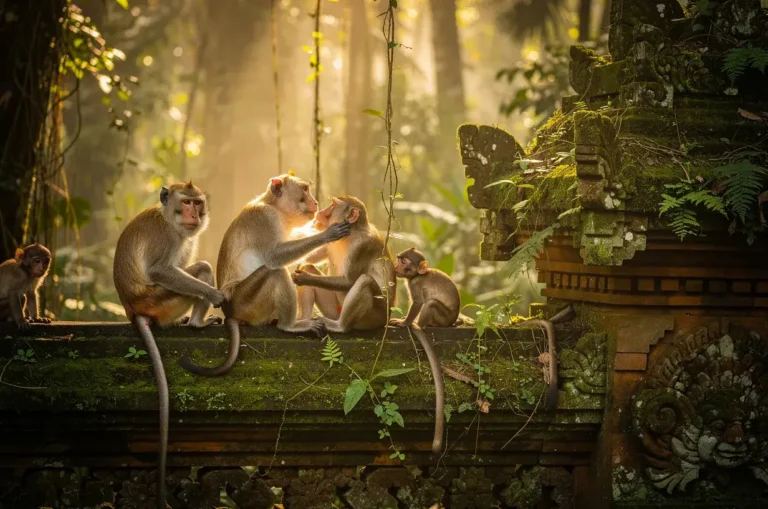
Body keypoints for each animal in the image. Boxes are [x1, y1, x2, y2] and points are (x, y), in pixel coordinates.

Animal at [113, 181, 225, 509]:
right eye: (185, 202)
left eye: (196, 203)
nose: (194, 214)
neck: (170, 220)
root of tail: (132, 309)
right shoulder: (167, 238)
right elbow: (161, 270)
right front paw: (215, 295)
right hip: (161, 302)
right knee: (199, 270)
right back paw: (198, 322)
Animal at [178, 173, 351, 377]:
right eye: (305, 190)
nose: (315, 202)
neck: (275, 208)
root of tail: (231, 311)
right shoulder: (265, 217)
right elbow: (274, 257)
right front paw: (326, 234)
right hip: (247, 302)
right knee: (276, 272)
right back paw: (289, 325)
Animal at [291, 195, 396, 333]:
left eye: (333, 205)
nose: (320, 212)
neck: (350, 234)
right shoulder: (331, 241)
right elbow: (309, 258)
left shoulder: (362, 246)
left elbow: (349, 281)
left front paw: (304, 278)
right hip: (334, 311)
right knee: (309, 267)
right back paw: (304, 320)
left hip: (375, 317)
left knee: (365, 281)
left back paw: (340, 326)